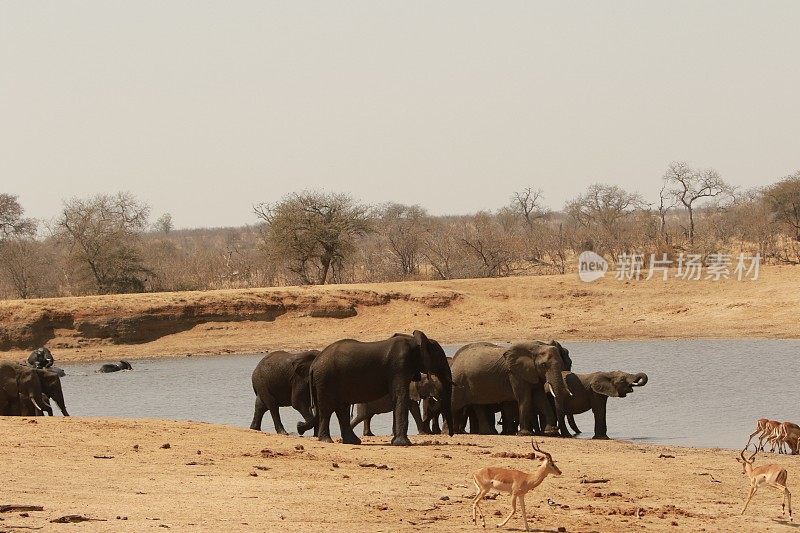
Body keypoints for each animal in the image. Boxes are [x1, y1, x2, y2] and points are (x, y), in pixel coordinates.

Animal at [310, 330, 454, 442]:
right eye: (440, 358)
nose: (451, 435)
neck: (414, 341)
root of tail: (314, 364)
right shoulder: (399, 366)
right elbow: (402, 396)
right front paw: (402, 443)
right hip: (325, 378)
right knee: (327, 408)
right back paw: (327, 440)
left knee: (342, 408)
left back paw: (353, 441)